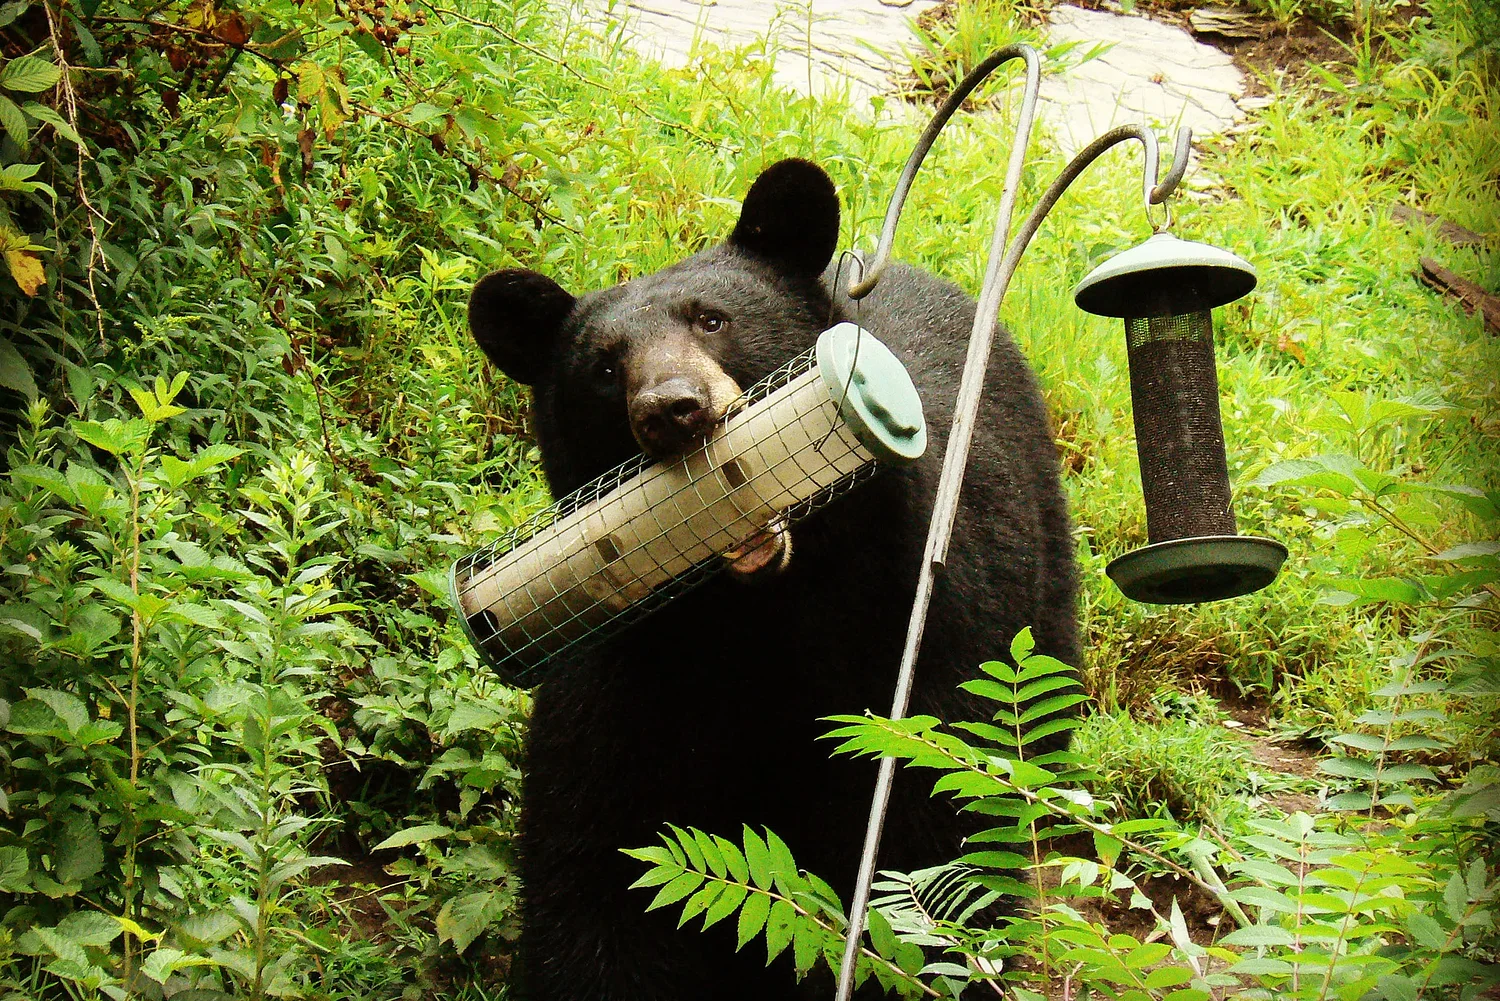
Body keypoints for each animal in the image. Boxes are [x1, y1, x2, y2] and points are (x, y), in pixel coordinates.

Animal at [466, 158, 1078, 1001]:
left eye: (712, 320)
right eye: (605, 366)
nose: (673, 410)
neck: (760, 618)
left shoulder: (919, 627)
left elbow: (929, 834)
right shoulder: (626, 669)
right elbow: (600, 858)